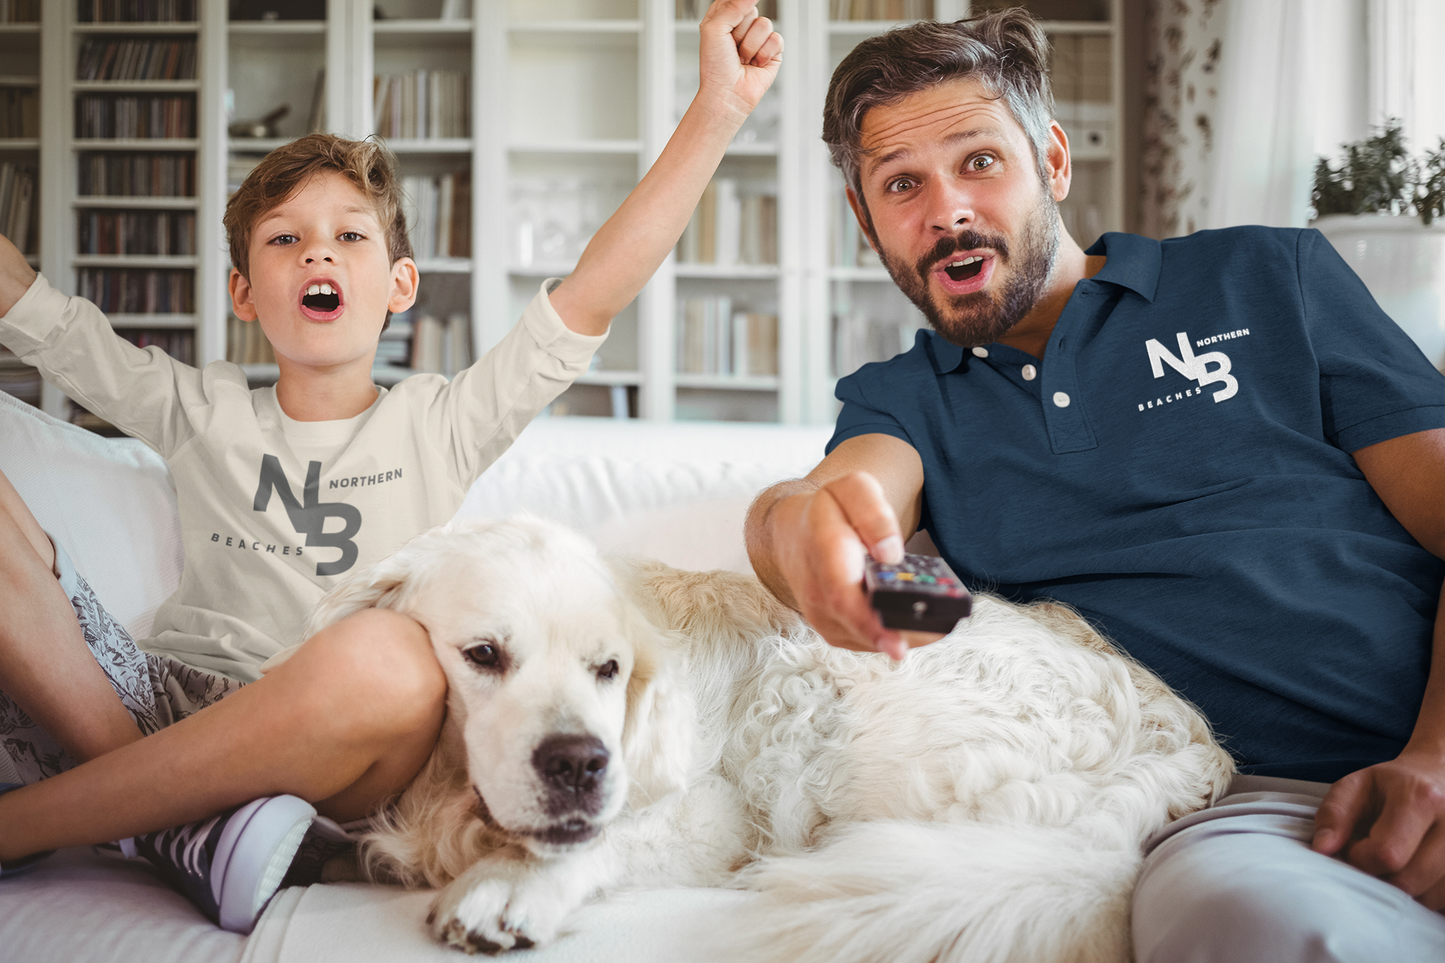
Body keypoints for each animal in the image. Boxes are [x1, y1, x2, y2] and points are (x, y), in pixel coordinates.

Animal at [302, 517, 1231, 960]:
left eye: (609, 667)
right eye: (483, 655)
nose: (581, 765)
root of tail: (1178, 729)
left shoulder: (713, 809)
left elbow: (609, 837)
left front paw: (510, 886)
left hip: (821, 710)